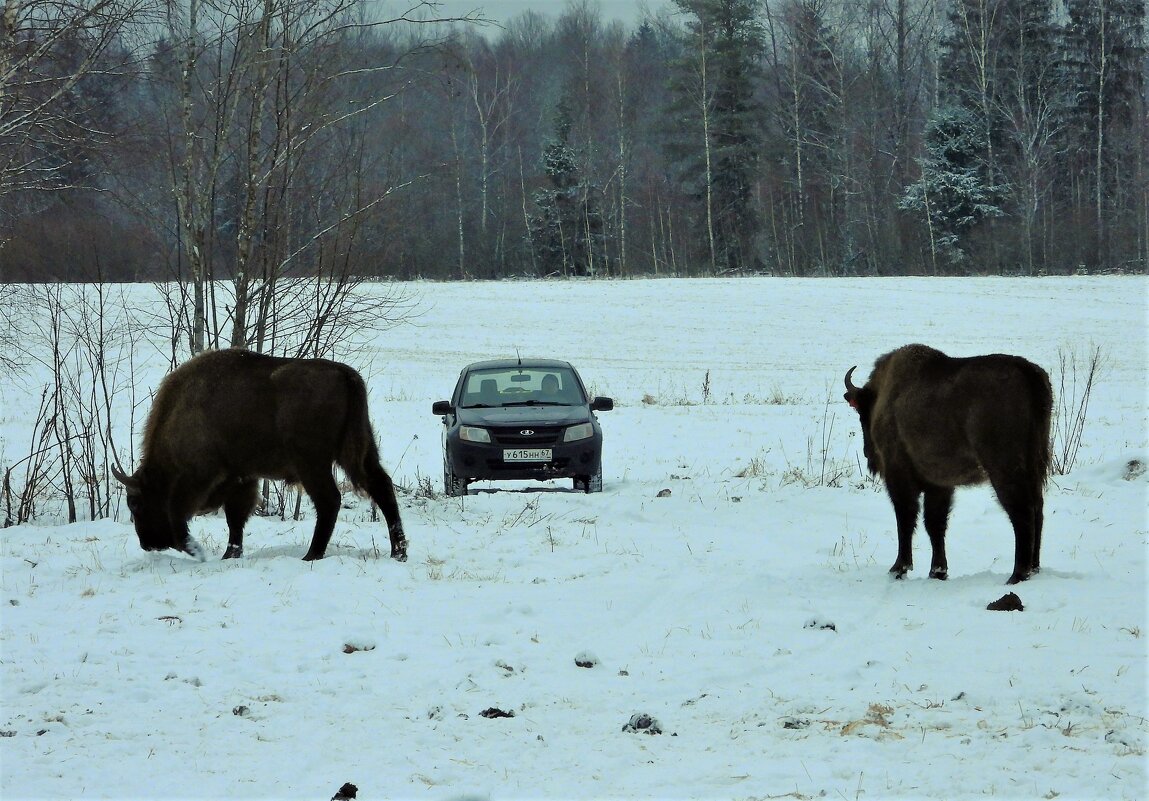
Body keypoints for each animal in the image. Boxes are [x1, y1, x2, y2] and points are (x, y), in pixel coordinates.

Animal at [113, 349, 409, 563]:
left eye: (135, 503)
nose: (148, 544)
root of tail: (346, 375)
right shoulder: (241, 476)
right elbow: (235, 519)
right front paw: (230, 554)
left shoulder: (201, 474)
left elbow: (180, 513)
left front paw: (196, 550)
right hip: (357, 453)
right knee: (381, 487)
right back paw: (399, 552)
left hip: (313, 464)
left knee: (330, 501)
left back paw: (311, 555)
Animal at [841, 342, 1052, 581]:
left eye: (862, 413)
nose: (868, 453)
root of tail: (1027, 373)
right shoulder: (939, 485)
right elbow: (935, 523)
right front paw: (938, 571)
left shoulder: (900, 477)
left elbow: (906, 518)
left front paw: (899, 567)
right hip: (1035, 466)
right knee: (1037, 509)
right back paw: (1033, 568)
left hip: (1004, 469)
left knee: (1022, 511)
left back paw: (1017, 574)